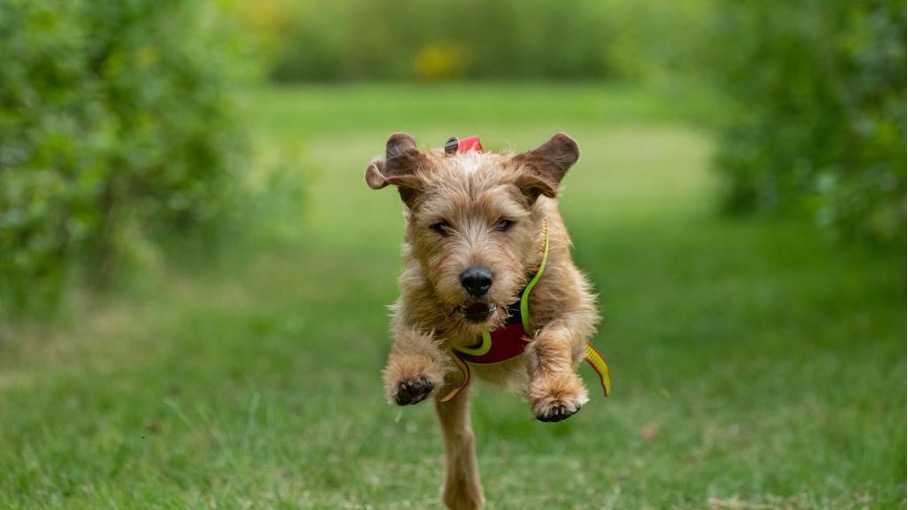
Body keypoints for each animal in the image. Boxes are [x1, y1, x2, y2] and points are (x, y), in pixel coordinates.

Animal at [364, 132, 612, 510]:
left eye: (505, 222)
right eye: (440, 225)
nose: (476, 279)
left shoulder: (571, 306)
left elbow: (551, 338)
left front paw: (555, 393)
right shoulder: (417, 303)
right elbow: (413, 337)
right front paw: (410, 376)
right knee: (459, 435)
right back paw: (463, 491)